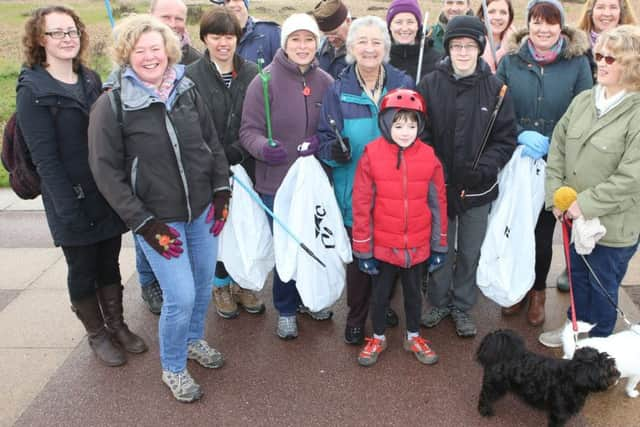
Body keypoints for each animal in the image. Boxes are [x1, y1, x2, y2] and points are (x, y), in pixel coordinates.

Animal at [476, 330, 620, 426]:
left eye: (609, 361)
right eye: (604, 371)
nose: (618, 372)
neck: (570, 380)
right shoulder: (559, 414)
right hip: (496, 386)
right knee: (485, 396)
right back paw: (485, 410)